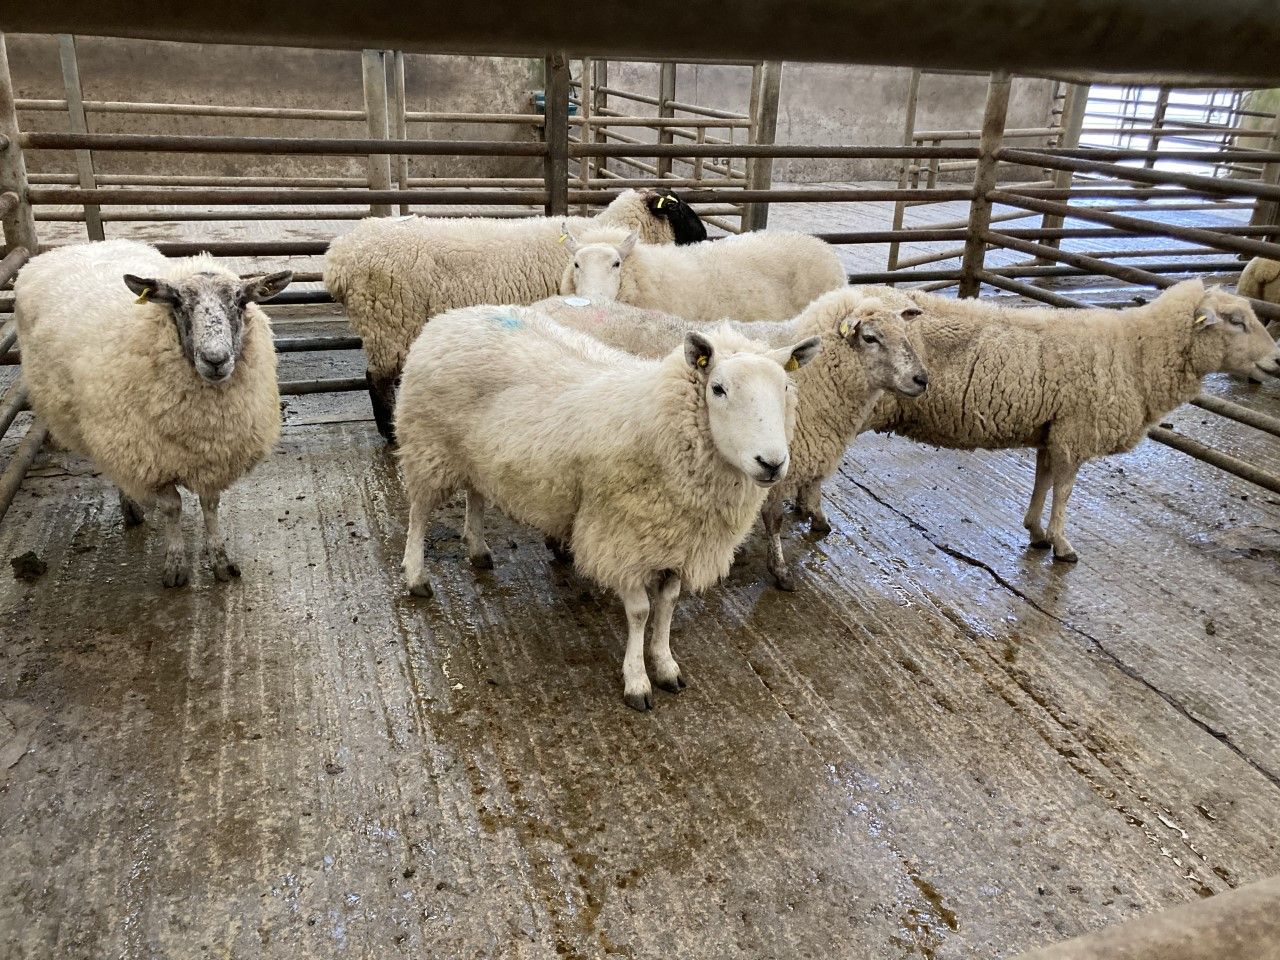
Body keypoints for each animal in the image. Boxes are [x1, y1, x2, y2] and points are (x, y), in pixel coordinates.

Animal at [14, 239, 292, 587]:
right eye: (178, 303)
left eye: (241, 302)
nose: (215, 360)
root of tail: (84, 244)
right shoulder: (150, 457)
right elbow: (172, 508)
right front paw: (175, 566)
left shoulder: (212, 457)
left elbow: (210, 505)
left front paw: (221, 561)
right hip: (114, 432)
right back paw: (131, 508)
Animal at [323, 188, 705, 442]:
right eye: (679, 209)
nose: (705, 235)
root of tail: (339, 256)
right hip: (387, 320)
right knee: (376, 378)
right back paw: (388, 434)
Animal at [394, 305, 819, 709]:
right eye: (718, 388)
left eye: (785, 386)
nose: (772, 463)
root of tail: (451, 316)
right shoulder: (621, 538)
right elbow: (641, 613)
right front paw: (637, 681)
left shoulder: (678, 541)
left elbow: (667, 606)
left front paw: (665, 665)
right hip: (427, 447)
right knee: (418, 515)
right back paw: (416, 577)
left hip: (474, 456)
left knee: (476, 495)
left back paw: (478, 548)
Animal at [537, 287, 928, 589]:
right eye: (870, 338)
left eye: (907, 335)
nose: (922, 379)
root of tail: (545, 303)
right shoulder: (778, 461)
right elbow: (775, 519)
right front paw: (780, 571)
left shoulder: (805, 451)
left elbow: (815, 486)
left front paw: (819, 520)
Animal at [858, 279, 1280, 562]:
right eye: (1236, 321)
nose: (1277, 360)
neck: (1136, 353)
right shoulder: (1075, 431)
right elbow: (1064, 491)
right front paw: (1062, 545)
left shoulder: (1054, 429)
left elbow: (1044, 480)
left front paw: (1036, 531)